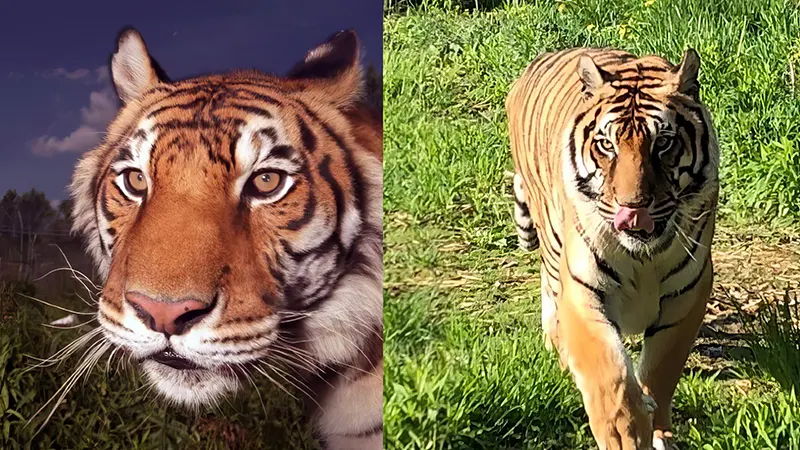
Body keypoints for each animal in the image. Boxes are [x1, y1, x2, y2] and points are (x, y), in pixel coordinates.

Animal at [506, 48, 718, 450]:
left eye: (663, 143)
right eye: (607, 145)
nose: (632, 207)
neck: (644, 256)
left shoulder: (688, 293)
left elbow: (661, 370)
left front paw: (659, 430)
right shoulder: (583, 290)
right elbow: (610, 374)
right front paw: (624, 434)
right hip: (552, 242)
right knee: (549, 286)